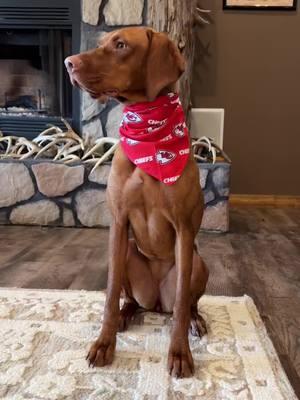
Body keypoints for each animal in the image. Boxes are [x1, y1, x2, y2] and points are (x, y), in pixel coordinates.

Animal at [65, 26, 209, 376]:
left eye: (120, 45)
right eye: (102, 43)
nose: (68, 63)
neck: (150, 132)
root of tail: (156, 302)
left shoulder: (184, 230)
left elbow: (181, 302)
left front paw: (180, 353)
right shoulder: (119, 224)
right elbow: (110, 292)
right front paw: (104, 343)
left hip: (198, 261)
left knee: (187, 303)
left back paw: (195, 320)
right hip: (130, 251)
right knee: (129, 297)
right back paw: (127, 313)